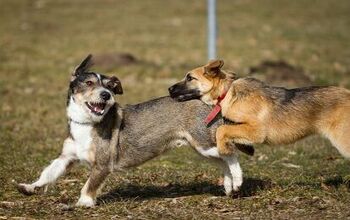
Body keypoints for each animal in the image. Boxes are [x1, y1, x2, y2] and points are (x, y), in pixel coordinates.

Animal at [170, 59, 350, 157]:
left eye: (190, 78)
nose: (169, 89)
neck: (228, 93)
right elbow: (227, 129)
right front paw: (245, 148)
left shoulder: (257, 131)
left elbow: (222, 130)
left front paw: (224, 149)